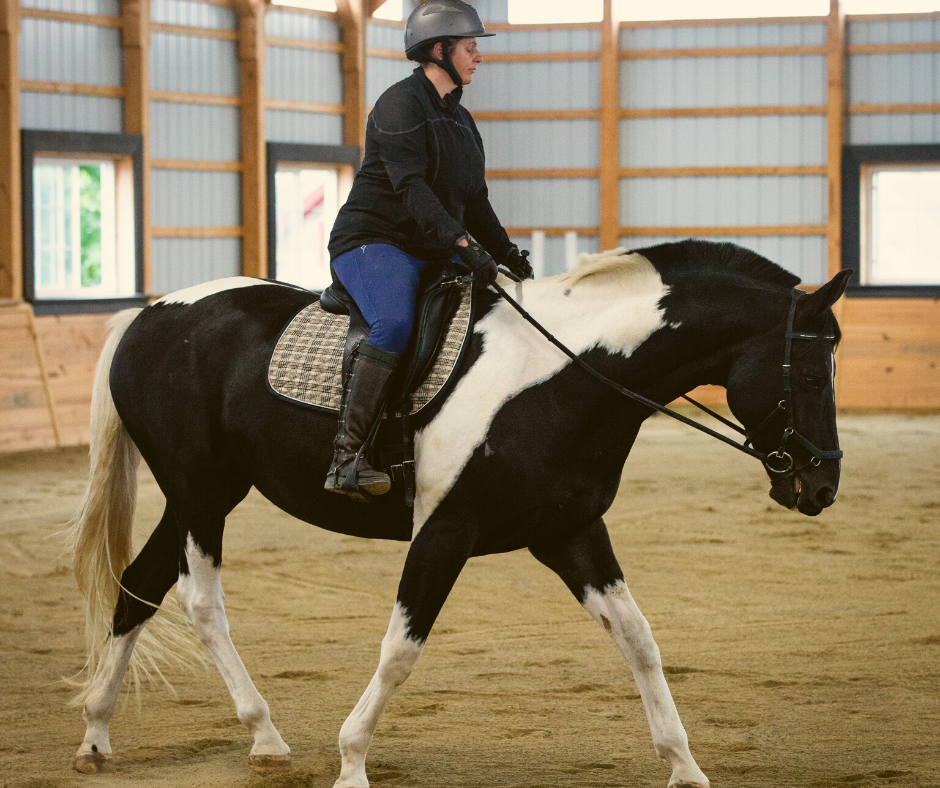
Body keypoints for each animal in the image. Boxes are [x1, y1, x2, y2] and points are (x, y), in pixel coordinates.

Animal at [66, 242, 848, 788]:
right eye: (812, 375)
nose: (822, 486)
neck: (560, 377)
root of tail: (150, 313)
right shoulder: (443, 531)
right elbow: (401, 649)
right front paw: (352, 763)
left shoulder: (569, 532)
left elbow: (639, 639)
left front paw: (684, 765)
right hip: (200, 490)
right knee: (199, 600)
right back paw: (264, 737)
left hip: (204, 492)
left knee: (138, 585)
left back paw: (97, 736)